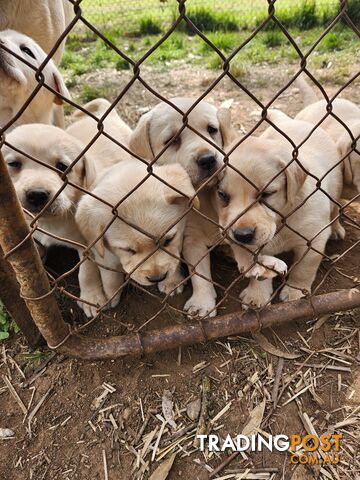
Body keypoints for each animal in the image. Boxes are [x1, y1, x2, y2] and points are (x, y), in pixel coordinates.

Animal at [76, 159, 198, 314]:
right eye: (128, 250)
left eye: (168, 240)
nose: (157, 278)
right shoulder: (102, 252)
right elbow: (109, 276)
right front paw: (110, 295)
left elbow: (173, 259)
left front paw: (172, 281)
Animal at [215, 109, 342, 308]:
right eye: (222, 195)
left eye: (266, 194)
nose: (242, 236)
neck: (283, 218)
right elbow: (259, 269)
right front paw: (257, 295)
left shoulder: (314, 239)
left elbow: (304, 268)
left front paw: (295, 291)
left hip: (336, 187)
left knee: (335, 209)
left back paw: (336, 228)